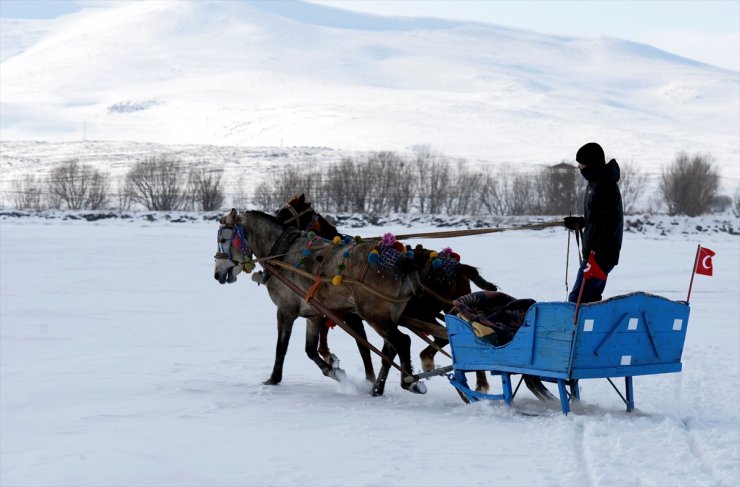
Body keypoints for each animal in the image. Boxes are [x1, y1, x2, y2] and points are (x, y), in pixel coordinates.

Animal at [212, 209, 428, 396]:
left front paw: (273, 379)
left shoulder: (285, 311)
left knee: (402, 342)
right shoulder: (313, 315)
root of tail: (401, 261)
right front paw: (335, 371)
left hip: (374, 316)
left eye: (223, 240)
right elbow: (310, 350)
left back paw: (410, 382)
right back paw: (377, 389)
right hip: (386, 317)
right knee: (390, 349)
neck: (283, 253)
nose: (217, 274)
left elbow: (281, 348)